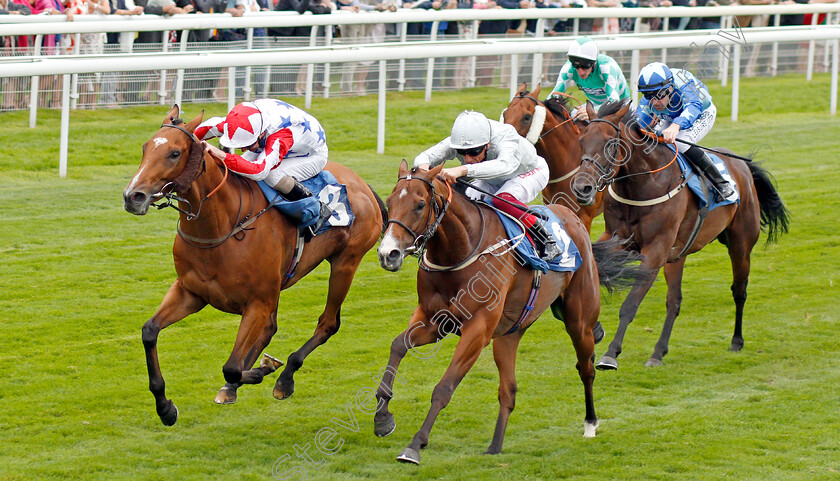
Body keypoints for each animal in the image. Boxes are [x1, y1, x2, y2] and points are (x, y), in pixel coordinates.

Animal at [121, 105, 388, 424]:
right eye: (145, 147)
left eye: (174, 153)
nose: (132, 196)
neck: (222, 227)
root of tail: (364, 185)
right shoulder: (191, 292)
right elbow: (149, 331)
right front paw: (165, 407)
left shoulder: (257, 302)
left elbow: (232, 367)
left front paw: (264, 369)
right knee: (270, 328)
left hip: (346, 263)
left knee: (328, 323)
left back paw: (285, 378)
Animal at [370, 159, 640, 464]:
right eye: (390, 202)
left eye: (419, 204)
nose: (388, 254)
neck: (460, 250)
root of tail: (573, 218)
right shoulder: (434, 321)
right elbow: (398, 345)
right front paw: (383, 418)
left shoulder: (477, 330)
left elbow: (444, 387)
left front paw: (415, 445)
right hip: (509, 334)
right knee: (508, 390)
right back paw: (495, 446)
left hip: (577, 319)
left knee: (586, 367)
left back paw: (590, 423)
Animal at [576, 99, 792, 370]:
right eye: (582, 140)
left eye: (609, 143)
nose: (582, 188)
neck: (645, 183)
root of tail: (743, 165)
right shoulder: (616, 237)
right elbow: (597, 262)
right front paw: (595, 328)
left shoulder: (655, 251)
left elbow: (630, 304)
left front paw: (610, 354)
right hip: (677, 256)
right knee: (674, 302)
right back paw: (658, 353)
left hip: (740, 244)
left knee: (739, 291)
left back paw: (737, 341)